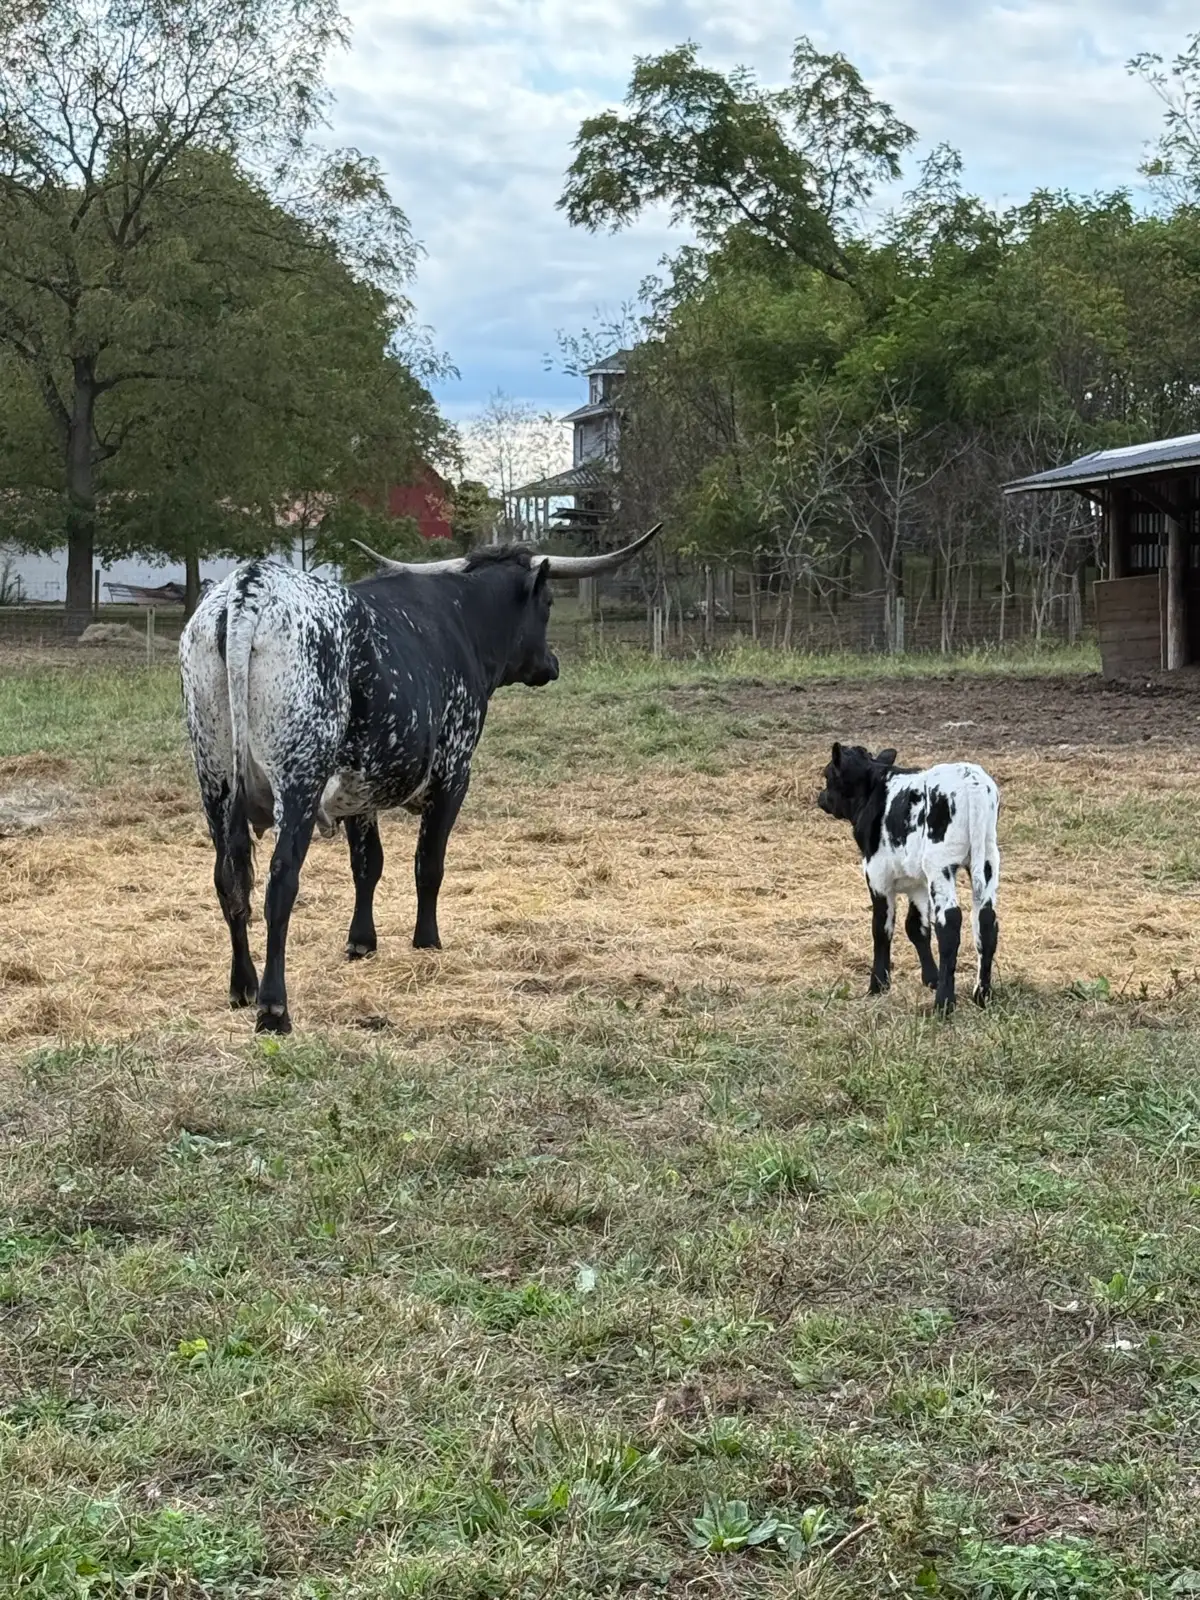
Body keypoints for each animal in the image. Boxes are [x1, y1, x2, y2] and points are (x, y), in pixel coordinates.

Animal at [179, 525, 662, 1034]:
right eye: (547, 603)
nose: (552, 665)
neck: (462, 621)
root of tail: (250, 586)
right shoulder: (454, 773)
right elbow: (428, 864)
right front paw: (427, 939)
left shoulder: (360, 789)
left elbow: (367, 865)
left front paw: (362, 941)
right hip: (299, 779)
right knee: (280, 881)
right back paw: (274, 1007)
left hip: (213, 779)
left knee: (228, 879)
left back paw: (243, 986)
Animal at [816, 743, 1000, 1015]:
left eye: (828, 775)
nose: (821, 797)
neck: (875, 790)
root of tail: (972, 781)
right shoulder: (917, 883)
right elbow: (916, 927)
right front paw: (931, 978)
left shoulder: (877, 876)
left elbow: (882, 927)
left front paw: (878, 985)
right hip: (987, 859)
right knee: (986, 920)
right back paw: (982, 995)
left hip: (940, 864)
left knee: (950, 922)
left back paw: (944, 1003)